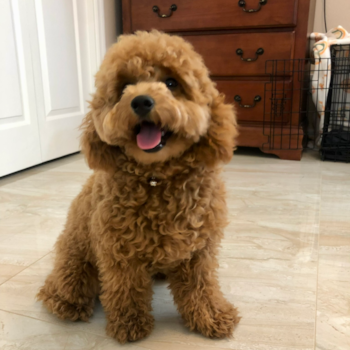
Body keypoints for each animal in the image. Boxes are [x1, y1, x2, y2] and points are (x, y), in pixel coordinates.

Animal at [37, 29, 241, 342]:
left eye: (171, 82)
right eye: (124, 87)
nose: (141, 101)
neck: (157, 177)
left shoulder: (199, 250)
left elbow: (201, 286)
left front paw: (211, 316)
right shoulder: (119, 250)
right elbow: (127, 288)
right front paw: (130, 323)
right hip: (76, 257)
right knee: (66, 283)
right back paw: (65, 301)